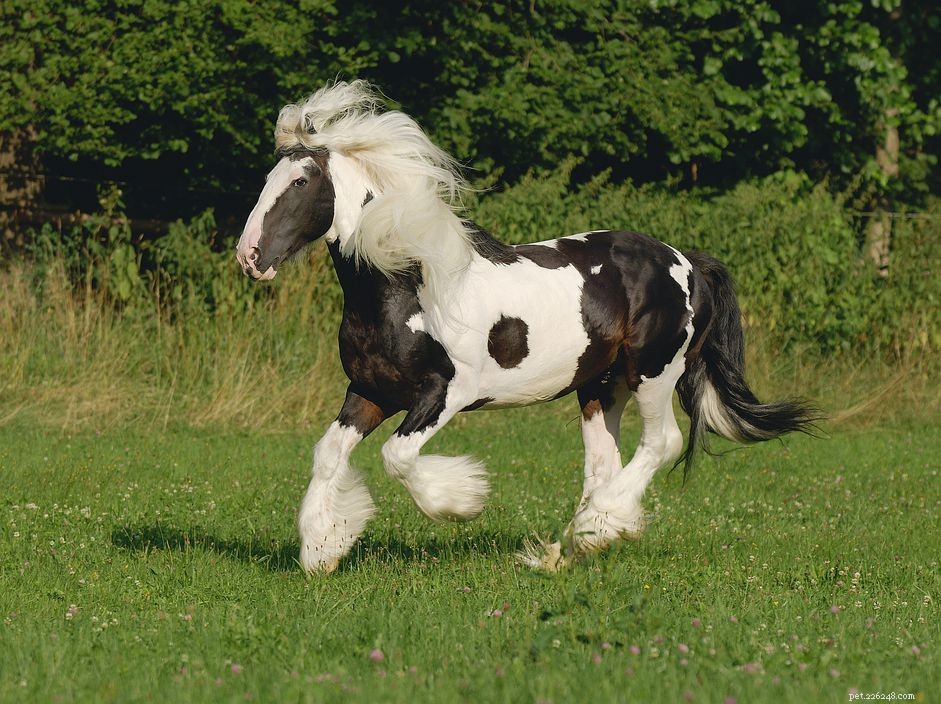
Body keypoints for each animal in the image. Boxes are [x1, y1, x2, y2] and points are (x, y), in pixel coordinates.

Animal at [235, 80, 815, 573]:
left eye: (301, 181)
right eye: (265, 181)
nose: (250, 256)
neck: (404, 286)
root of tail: (687, 262)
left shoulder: (445, 393)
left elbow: (397, 457)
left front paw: (464, 502)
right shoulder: (370, 392)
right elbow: (328, 453)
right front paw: (323, 549)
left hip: (654, 373)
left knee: (662, 444)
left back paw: (599, 527)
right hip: (600, 386)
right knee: (603, 462)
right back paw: (577, 545)